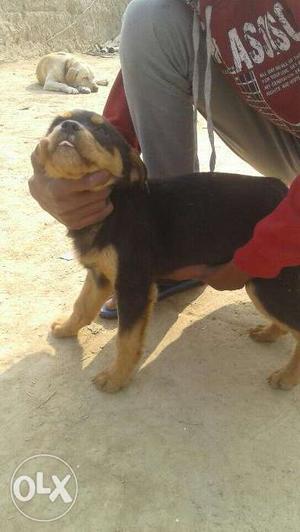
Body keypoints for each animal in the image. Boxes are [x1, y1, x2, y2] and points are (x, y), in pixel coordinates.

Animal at [32, 109, 300, 390]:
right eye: (54, 123)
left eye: (102, 131)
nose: (68, 126)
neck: (114, 201)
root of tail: (282, 191)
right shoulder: (100, 274)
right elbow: (82, 306)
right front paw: (66, 329)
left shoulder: (133, 286)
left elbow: (126, 339)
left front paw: (116, 378)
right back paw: (268, 333)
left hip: (268, 282)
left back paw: (287, 376)